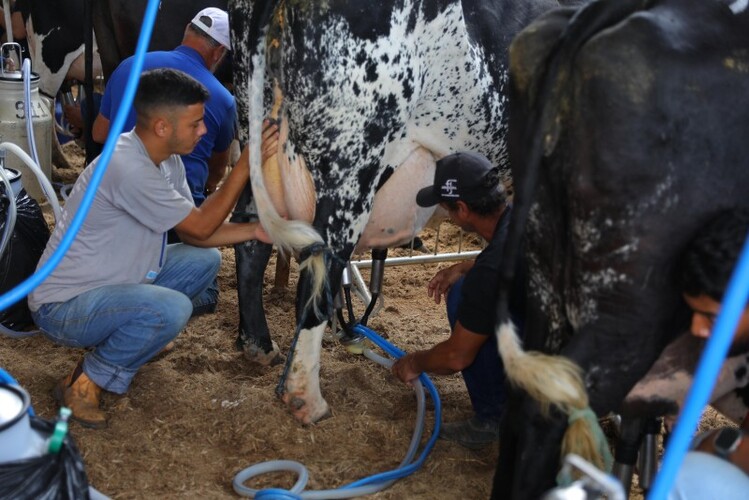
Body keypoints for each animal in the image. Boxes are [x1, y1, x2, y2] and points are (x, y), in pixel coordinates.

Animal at [229, 0, 568, 424]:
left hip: (256, 142)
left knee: (251, 243)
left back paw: (258, 346)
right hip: (352, 166)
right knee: (318, 272)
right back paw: (305, 397)